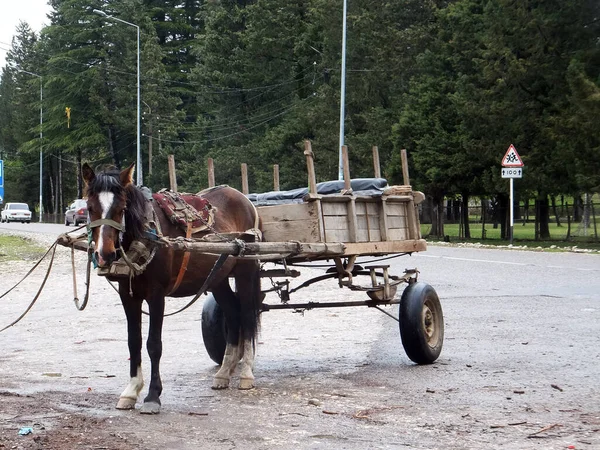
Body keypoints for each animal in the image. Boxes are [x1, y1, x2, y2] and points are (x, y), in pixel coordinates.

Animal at [82, 163, 262, 414]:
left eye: (120, 208)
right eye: (90, 208)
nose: (105, 254)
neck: (147, 233)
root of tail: (244, 199)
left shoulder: (157, 295)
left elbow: (153, 344)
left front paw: (152, 396)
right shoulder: (128, 296)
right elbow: (133, 341)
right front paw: (131, 391)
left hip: (246, 272)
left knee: (246, 316)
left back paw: (246, 373)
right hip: (218, 278)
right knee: (233, 313)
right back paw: (224, 373)